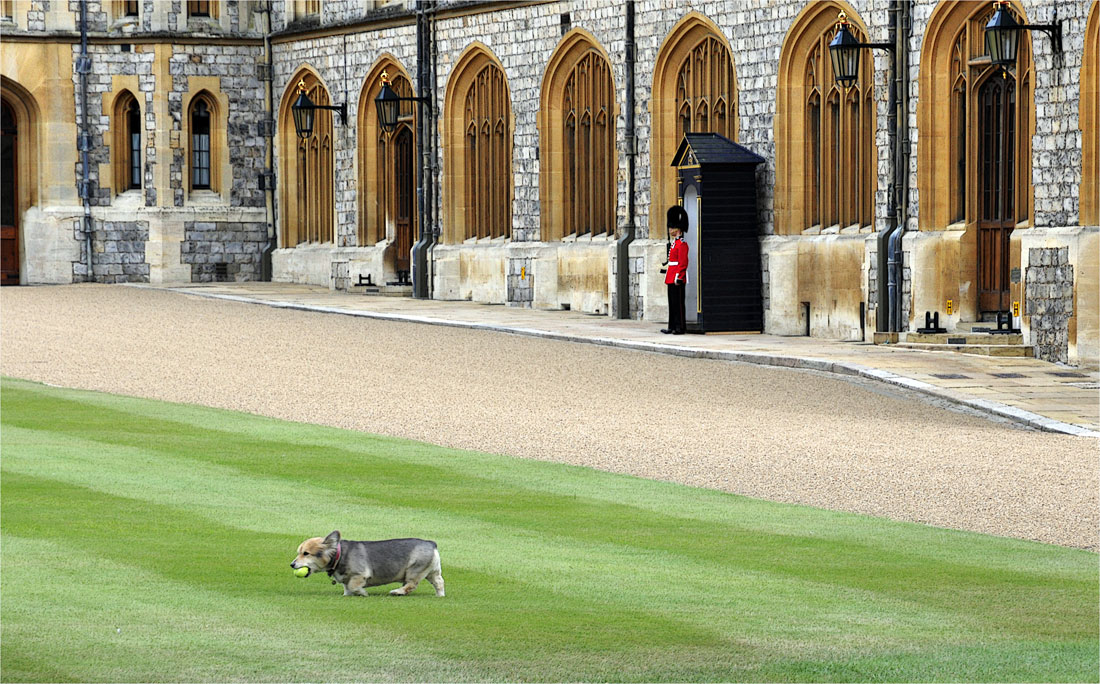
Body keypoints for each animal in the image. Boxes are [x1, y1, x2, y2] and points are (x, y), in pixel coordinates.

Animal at [297, 530, 446, 598]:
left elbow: (354, 586)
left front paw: (363, 593)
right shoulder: (346, 580)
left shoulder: (359, 575)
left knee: (411, 584)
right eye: (299, 552)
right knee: (439, 582)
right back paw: (440, 595)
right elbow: (347, 587)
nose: (293, 564)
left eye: (306, 553)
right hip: (432, 572)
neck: (339, 554)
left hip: (414, 570)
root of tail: (431, 543)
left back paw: (397, 592)